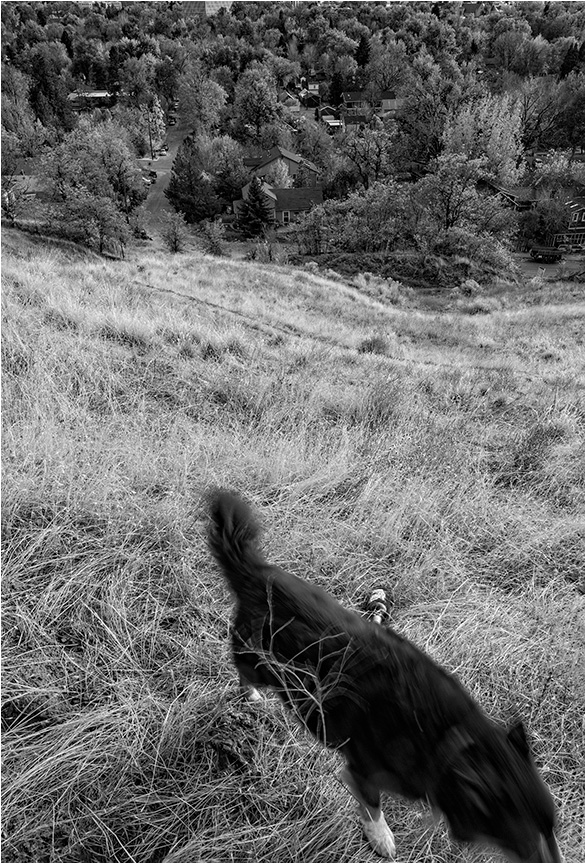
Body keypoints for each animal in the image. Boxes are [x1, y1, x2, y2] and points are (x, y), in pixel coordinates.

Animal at [208, 490, 560, 860]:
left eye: (552, 830)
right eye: (528, 845)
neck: (450, 740)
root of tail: (254, 571)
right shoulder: (363, 771)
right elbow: (373, 805)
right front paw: (380, 836)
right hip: (258, 661)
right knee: (243, 672)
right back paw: (251, 696)